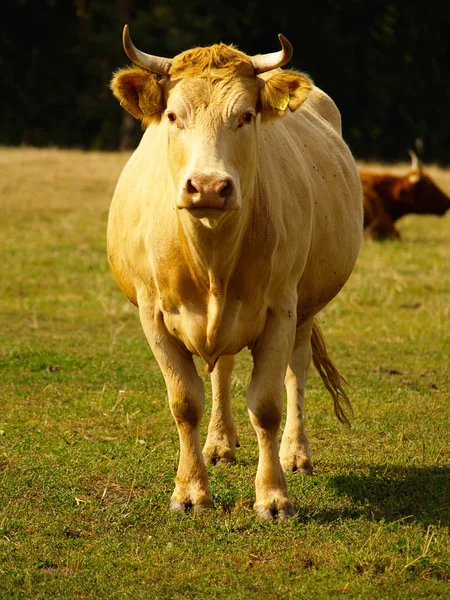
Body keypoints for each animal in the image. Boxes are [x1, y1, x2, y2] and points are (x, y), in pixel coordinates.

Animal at [107, 25, 364, 516]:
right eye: (173, 115)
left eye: (245, 116)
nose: (208, 186)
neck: (210, 260)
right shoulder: (153, 314)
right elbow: (185, 401)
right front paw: (190, 491)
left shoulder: (282, 308)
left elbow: (266, 404)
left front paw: (274, 496)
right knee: (222, 369)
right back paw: (220, 444)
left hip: (305, 310)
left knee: (296, 372)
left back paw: (296, 453)